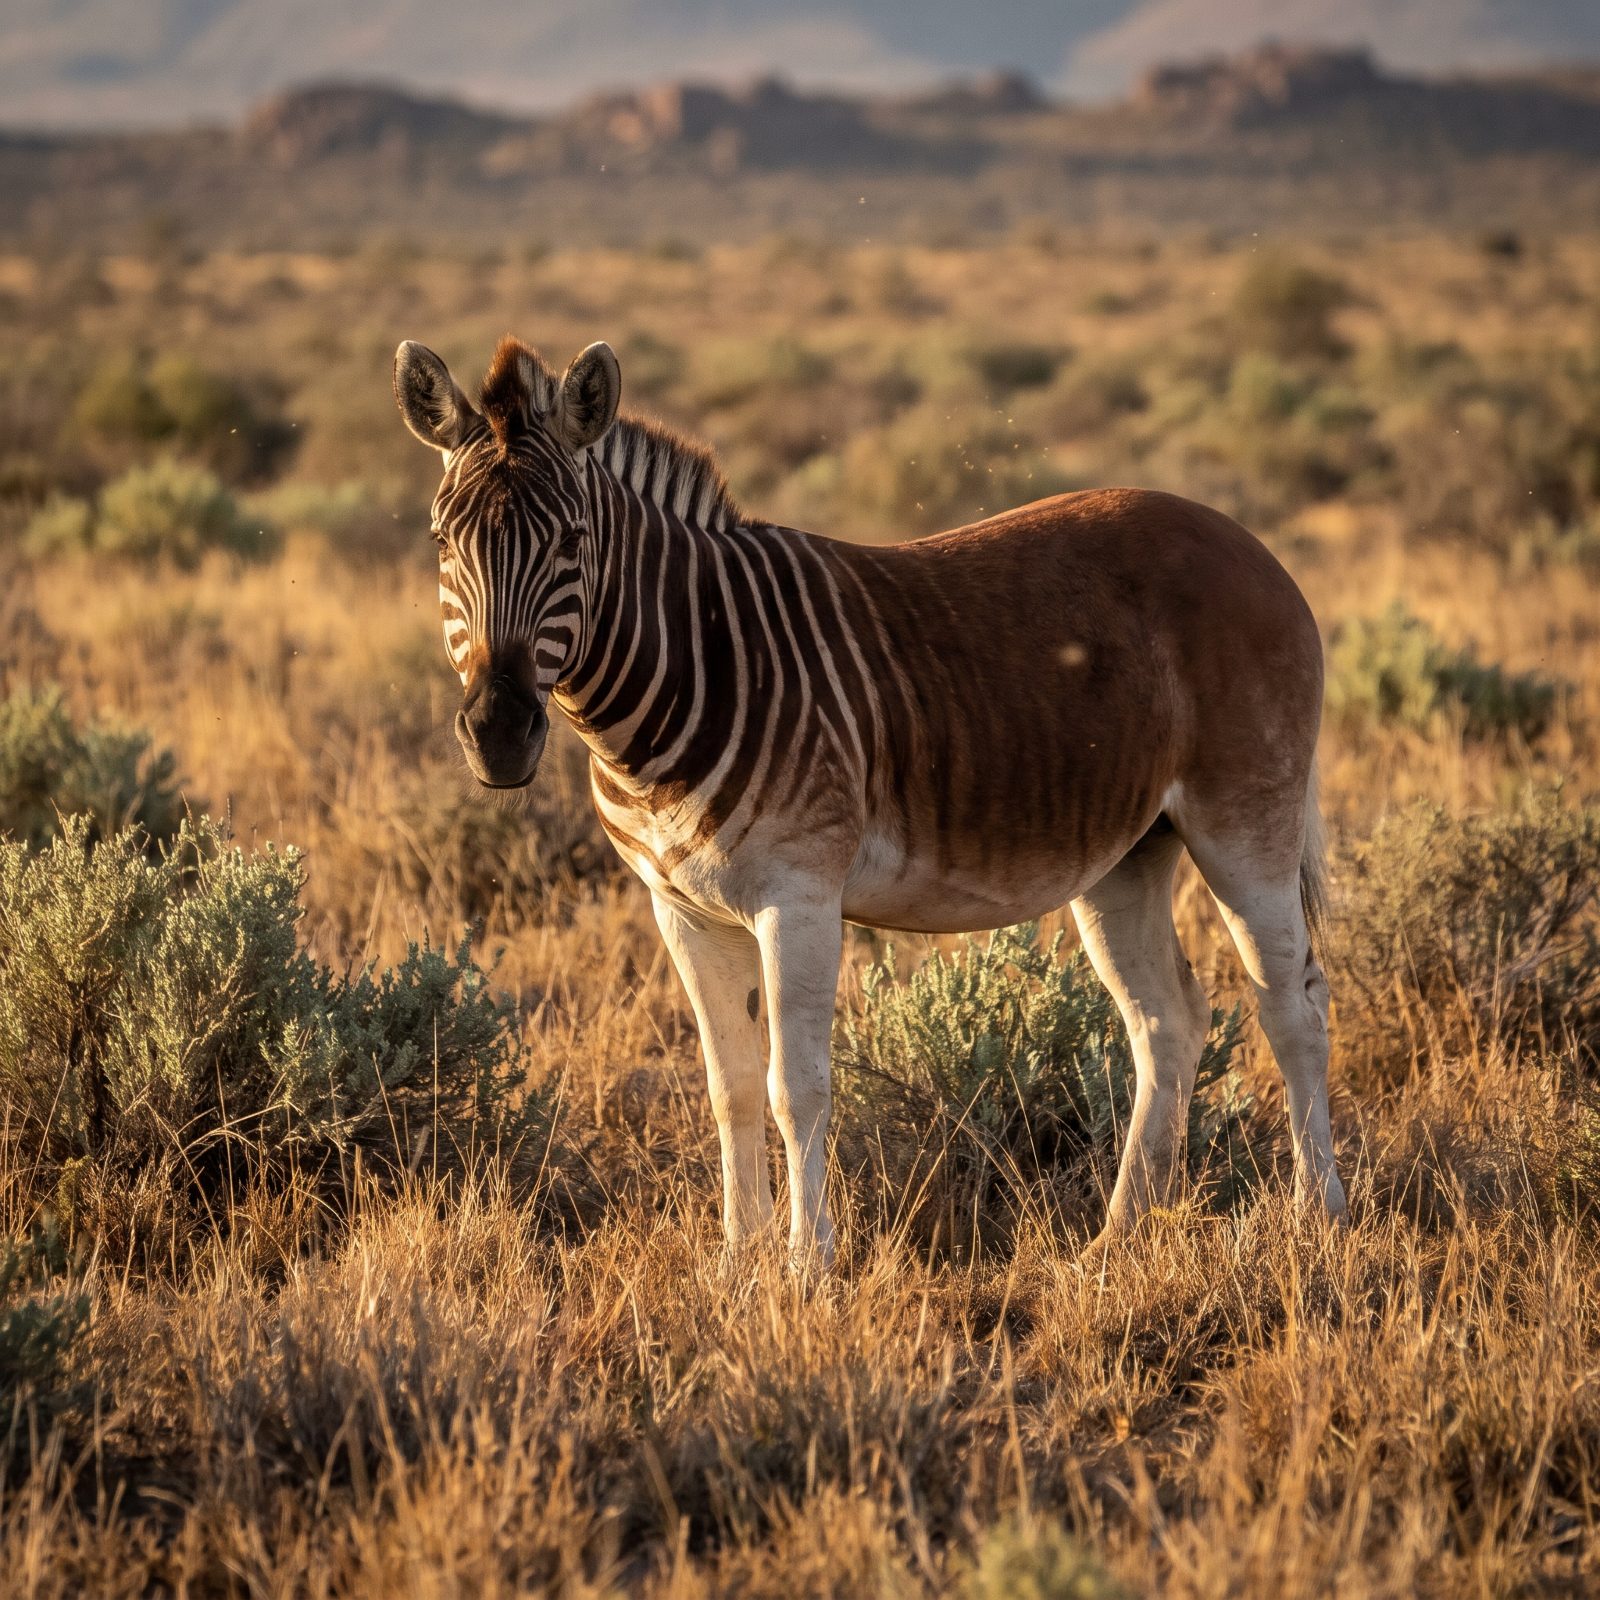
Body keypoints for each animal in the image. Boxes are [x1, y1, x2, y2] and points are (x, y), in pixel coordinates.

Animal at [394, 334, 1348, 1266]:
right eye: (441, 542)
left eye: (571, 542)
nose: (498, 733)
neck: (692, 667)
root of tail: (1243, 537)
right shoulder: (681, 909)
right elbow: (730, 1089)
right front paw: (736, 1266)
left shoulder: (800, 896)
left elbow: (796, 1088)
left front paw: (806, 1267)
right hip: (1128, 850)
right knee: (1167, 1019)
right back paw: (1117, 1240)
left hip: (1243, 822)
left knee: (1290, 1002)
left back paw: (1318, 1221)